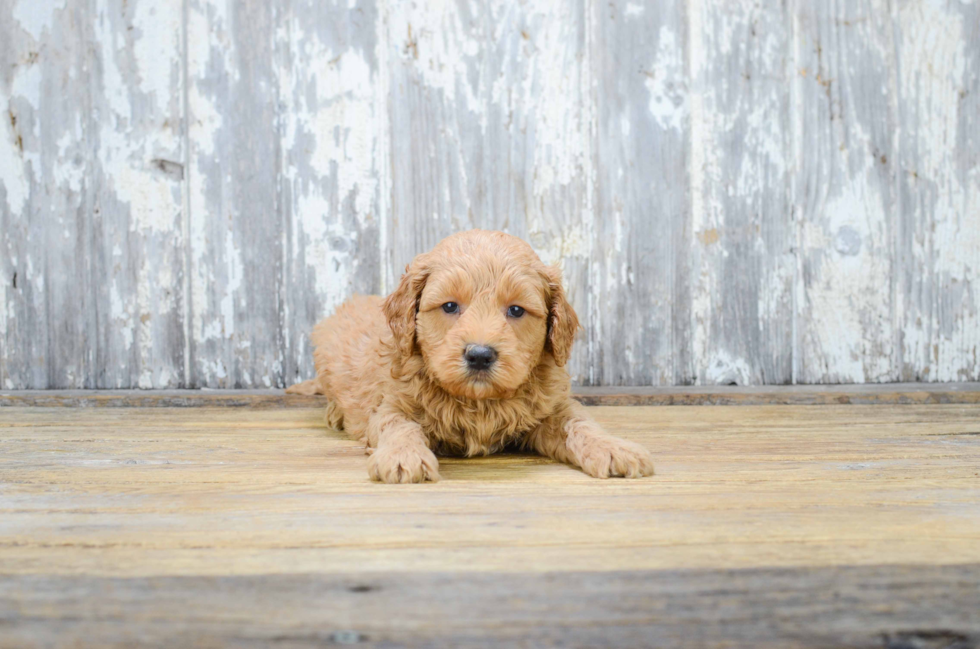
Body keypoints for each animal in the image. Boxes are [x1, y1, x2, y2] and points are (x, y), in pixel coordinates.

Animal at [288, 229, 656, 480]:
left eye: (516, 310)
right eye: (450, 306)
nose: (479, 355)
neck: (479, 401)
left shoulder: (553, 407)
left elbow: (580, 423)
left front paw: (612, 447)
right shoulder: (392, 404)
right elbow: (398, 426)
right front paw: (403, 456)